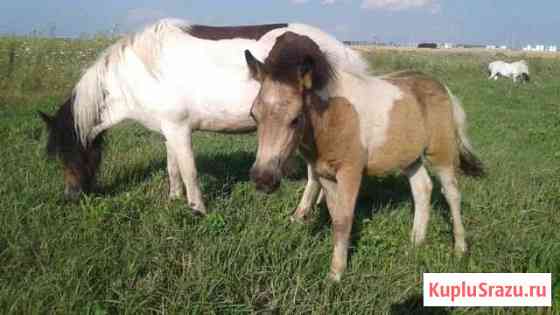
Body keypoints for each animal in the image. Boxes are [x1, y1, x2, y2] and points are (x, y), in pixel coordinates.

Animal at [37, 18, 366, 216]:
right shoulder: (169, 130)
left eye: (70, 152)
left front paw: (197, 208)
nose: (71, 195)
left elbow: (189, 171)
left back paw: (301, 213)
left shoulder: (179, 129)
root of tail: (343, 53)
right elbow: (173, 168)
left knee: (314, 176)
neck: (141, 71)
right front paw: (174, 198)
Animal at [245, 32, 486, 282]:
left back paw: (460, 248)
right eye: (254, 115)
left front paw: (336, 275)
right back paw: (415, 243)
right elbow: (336, 217)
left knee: (452, 194)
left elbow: (344, 220)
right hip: (410, 158)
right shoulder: (326, 175)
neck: (331, 115)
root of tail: (443, 88)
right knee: (423, 189)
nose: (263, 178)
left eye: (295, 119)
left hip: (441, 153)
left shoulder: (351, 172)